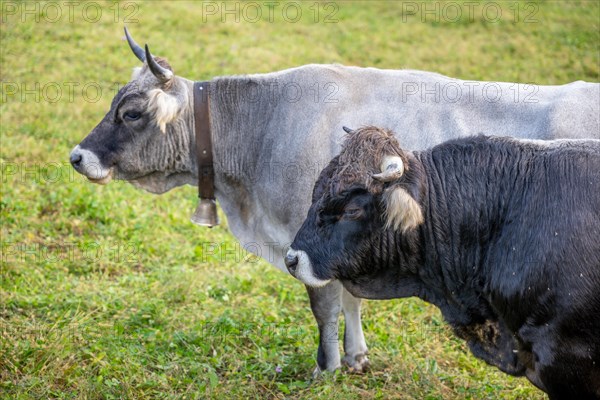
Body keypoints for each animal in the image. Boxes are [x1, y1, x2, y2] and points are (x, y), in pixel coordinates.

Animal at [71, 29, 600, 376]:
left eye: (131, 113)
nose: (77, 156)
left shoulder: (309, 239)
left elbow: (325, 307)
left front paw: (324, 369)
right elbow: (350, 301)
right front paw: (356, 357)